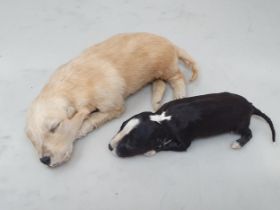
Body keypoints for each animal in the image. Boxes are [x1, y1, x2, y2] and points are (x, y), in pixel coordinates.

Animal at [25, 32, 197, 167]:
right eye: (32, 140)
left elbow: (91, 119)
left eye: (54, 127)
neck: (69, 87)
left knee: (177, 77)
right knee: (159, 83)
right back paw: (156, 100)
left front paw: (78, 130)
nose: (44, 160)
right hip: (155, 73)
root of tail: (171, 44)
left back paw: (179, 95)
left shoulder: (114, 106)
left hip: (165, 66)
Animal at [108, 92, 274, 157]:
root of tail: (250, 106)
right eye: (121, 126)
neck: (162, 120)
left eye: (131, 144)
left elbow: (170, 146)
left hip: (240, 124)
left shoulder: (182, 139)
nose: (110, 147)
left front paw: (151, 150)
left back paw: (238, 143)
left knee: (249, 133)